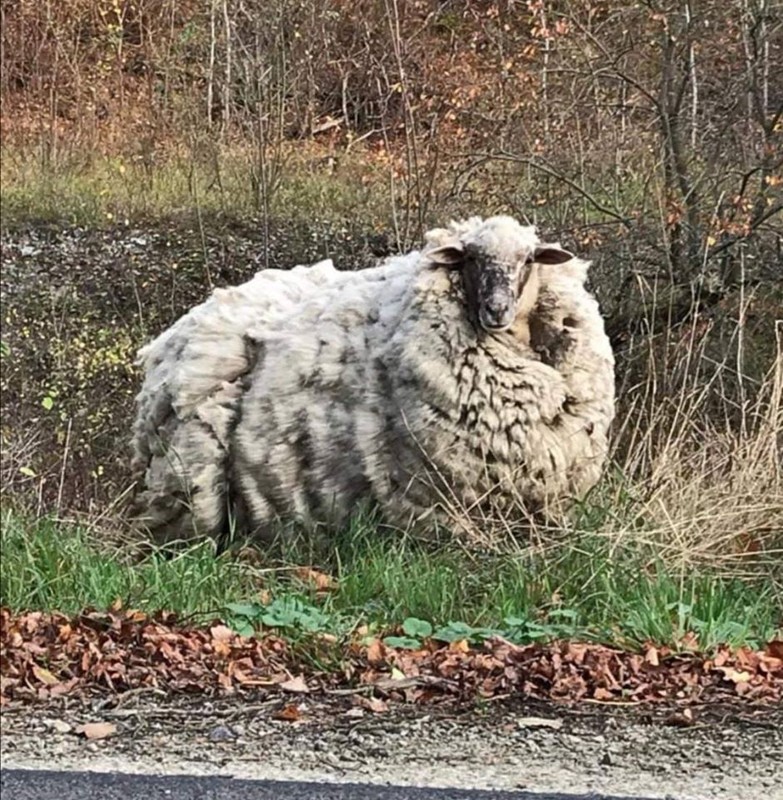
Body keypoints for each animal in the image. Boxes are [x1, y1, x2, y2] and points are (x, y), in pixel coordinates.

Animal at [130, 216, 620, 548]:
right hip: (190, 478)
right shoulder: (436, 504)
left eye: (528, 260)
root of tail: (172, 335)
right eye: (469, 258)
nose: (496, 310)